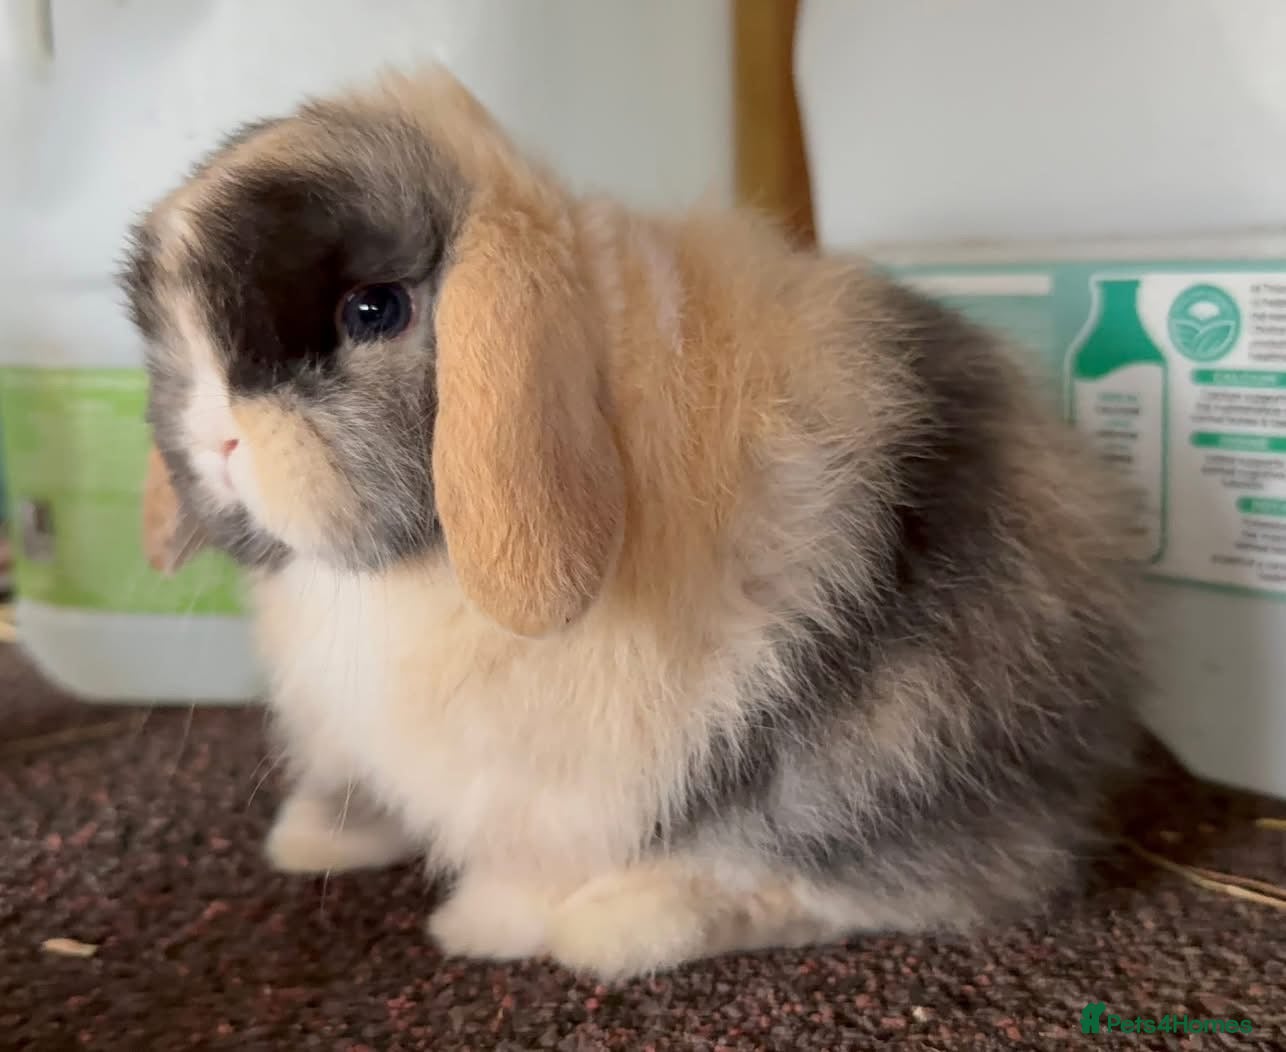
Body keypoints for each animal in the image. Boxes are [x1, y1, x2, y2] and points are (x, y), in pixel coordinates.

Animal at [123, 66, 1143, 981]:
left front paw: (482, 924)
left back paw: (622, 923)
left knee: (914, 880)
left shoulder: (562, 774)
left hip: (893, 738)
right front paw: (318, 835)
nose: (215, 437)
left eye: (374, 310)